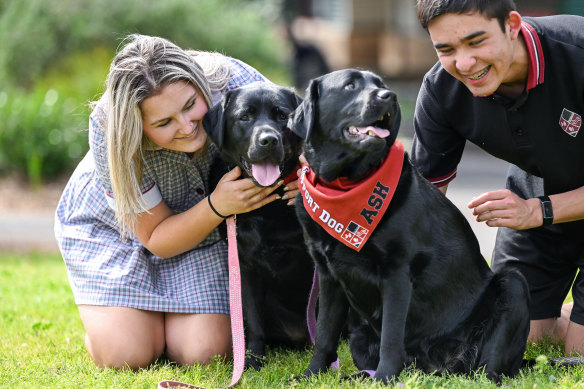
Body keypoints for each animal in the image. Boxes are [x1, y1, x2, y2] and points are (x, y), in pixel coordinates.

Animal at [204, 82, 314, 370]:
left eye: (282, 116)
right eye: (245, 116)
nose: (269, 140)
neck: (269, 205)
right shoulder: (245, 265)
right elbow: (253, 320)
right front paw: (252, 360)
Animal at [290, 69, 532, 382]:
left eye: (381, 85)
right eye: (350, 85)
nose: (389, 96)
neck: (345, 186)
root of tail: (436, 364)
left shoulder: (397, 272)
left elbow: (391, 338)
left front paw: (384, 379)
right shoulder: (328, 274)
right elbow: (323, 335)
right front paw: (311, 375)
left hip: (513, 286)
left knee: (488, 368)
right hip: (359, 335)